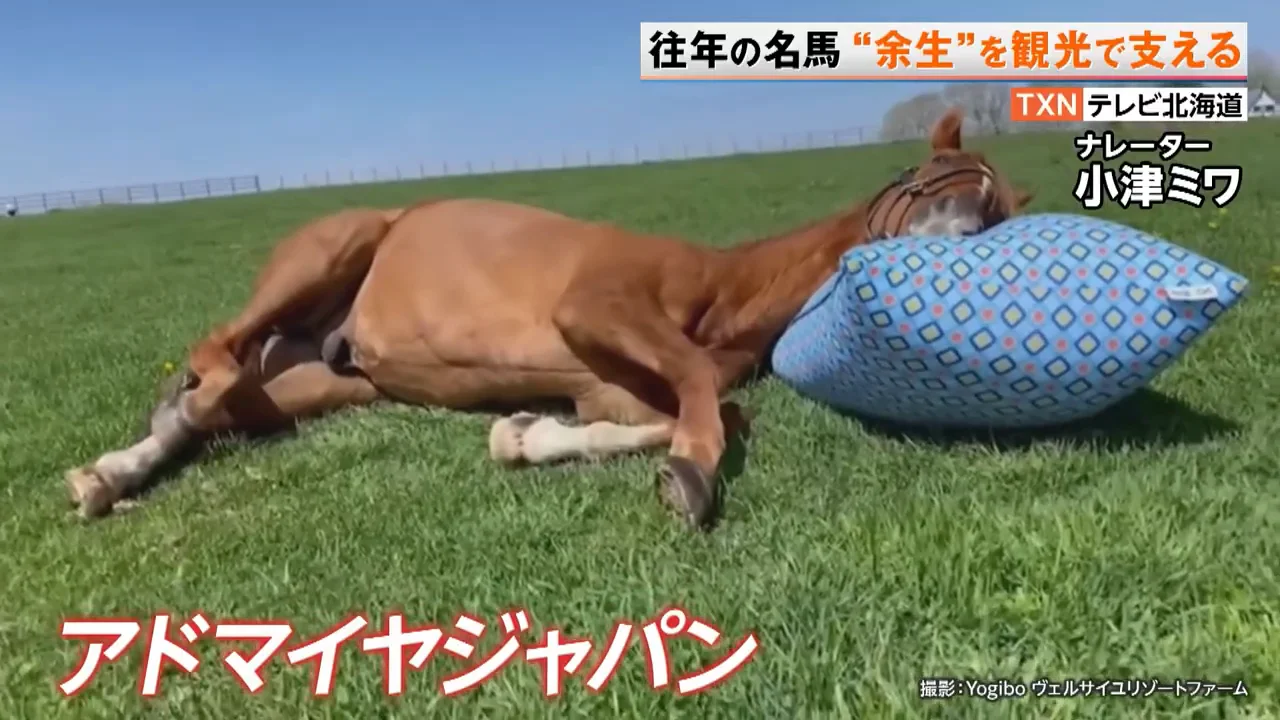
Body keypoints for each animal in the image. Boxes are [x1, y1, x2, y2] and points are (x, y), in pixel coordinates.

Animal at [64, 107, 1033, 530]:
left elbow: (703, 408)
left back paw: (112, 472)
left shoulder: (612, 386)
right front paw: (695, 476)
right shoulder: (598, 304)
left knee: (216, 408)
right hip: (332, 247)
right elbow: (704, 399)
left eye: (996, 212)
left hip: (316, 386)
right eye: (934, 182)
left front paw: (527, 435)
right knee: (211, 360)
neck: (730, 290)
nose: (958, 249)